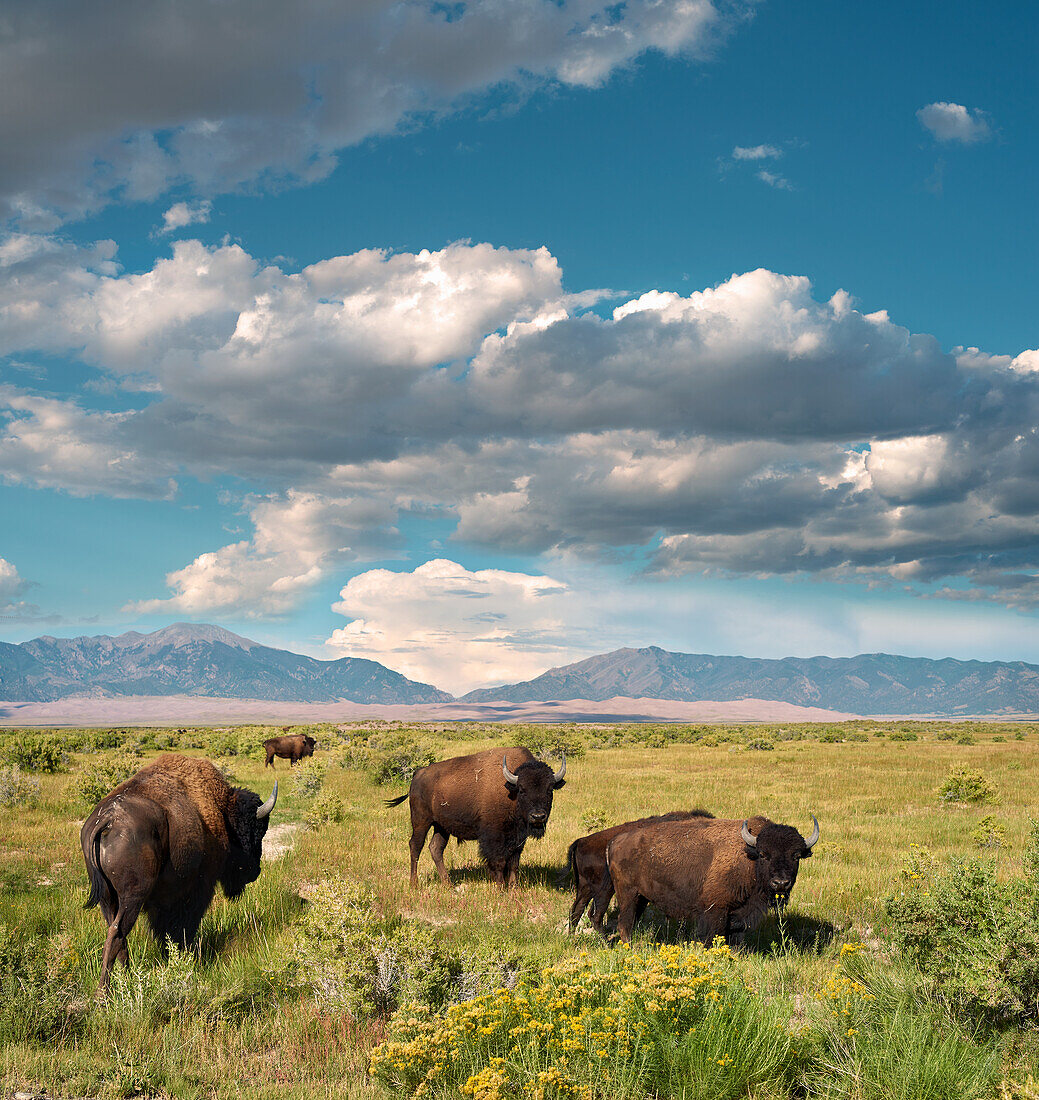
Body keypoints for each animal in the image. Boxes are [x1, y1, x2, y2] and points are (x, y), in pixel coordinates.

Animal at [81, 756, 278, 990]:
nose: (255, 872)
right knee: (117, 934)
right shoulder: (199, 889)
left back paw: (127, 979)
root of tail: (108, 819)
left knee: (117, 935)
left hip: (107, 898)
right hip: (132, 896)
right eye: (255, 831)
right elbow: (184, 926)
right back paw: (105, 992)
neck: (220, 809)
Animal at [387, 743, 567, 888]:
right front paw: (500, 888)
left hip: (441, 826)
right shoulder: (494, 836)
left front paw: (513, 888)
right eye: (522, 789)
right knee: (415, 847)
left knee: (436, 848)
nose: (538, 816)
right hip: (421, 822)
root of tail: (417, 774)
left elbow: (513, 863)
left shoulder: (518, 838)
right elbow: (499, 862)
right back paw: (414, 884)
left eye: (549, 789)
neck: (511, 789)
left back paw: (447, 884)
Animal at [598, 809, 818, 946]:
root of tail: (615, 841)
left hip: (641, 898)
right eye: (764, 854)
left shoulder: (741, 913)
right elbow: (712, 935)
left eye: (796, 856)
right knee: (624, 923)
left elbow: (736, 936)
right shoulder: (715, 910)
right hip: (628, 895)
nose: (780, 883)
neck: (749, 856)